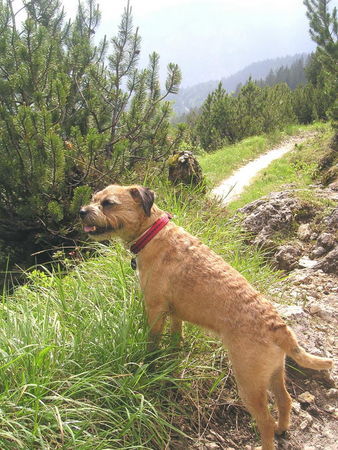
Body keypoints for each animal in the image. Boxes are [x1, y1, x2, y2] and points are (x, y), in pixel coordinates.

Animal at [80, 184, 332, 450]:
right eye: (94, 199)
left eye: (108, 203)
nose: (81, 211)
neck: (152, 230)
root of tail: (278, 327)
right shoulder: (175, 314)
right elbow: (176, 336)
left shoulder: (155, 309)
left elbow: (153, 342)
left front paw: (149, 364)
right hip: (274, 372)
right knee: (285, 400)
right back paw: (283, 428)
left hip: (249, 383)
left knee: (265, 421)